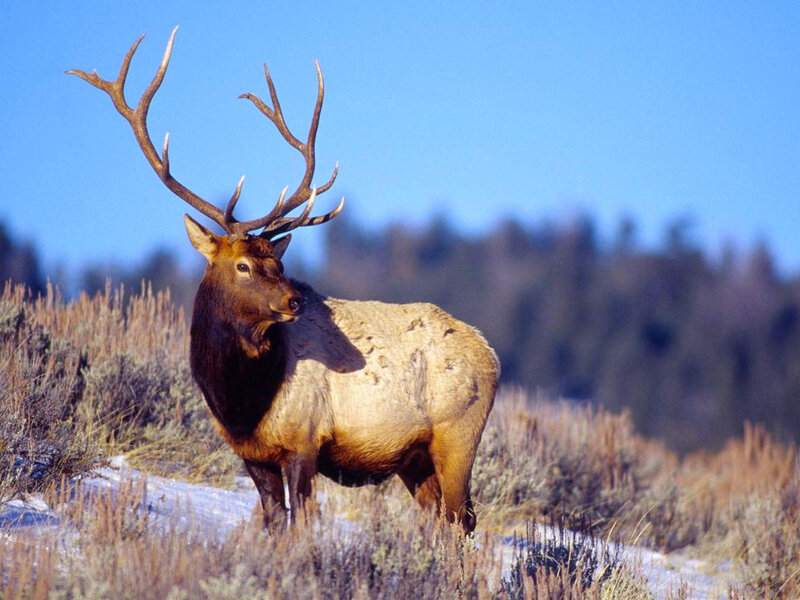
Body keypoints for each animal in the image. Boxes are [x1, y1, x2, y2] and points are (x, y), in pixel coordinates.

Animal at [68, 28, 499, 533]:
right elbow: (274, 523)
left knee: (460, 521)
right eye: (243, 265)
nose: (296, 301)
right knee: (444, 522)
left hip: (457, 436)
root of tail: (491, 354)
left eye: (277, 260)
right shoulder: (252, 455)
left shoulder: (304, 440)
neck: (241, 401)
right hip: (415, 459)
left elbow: (302, 525)